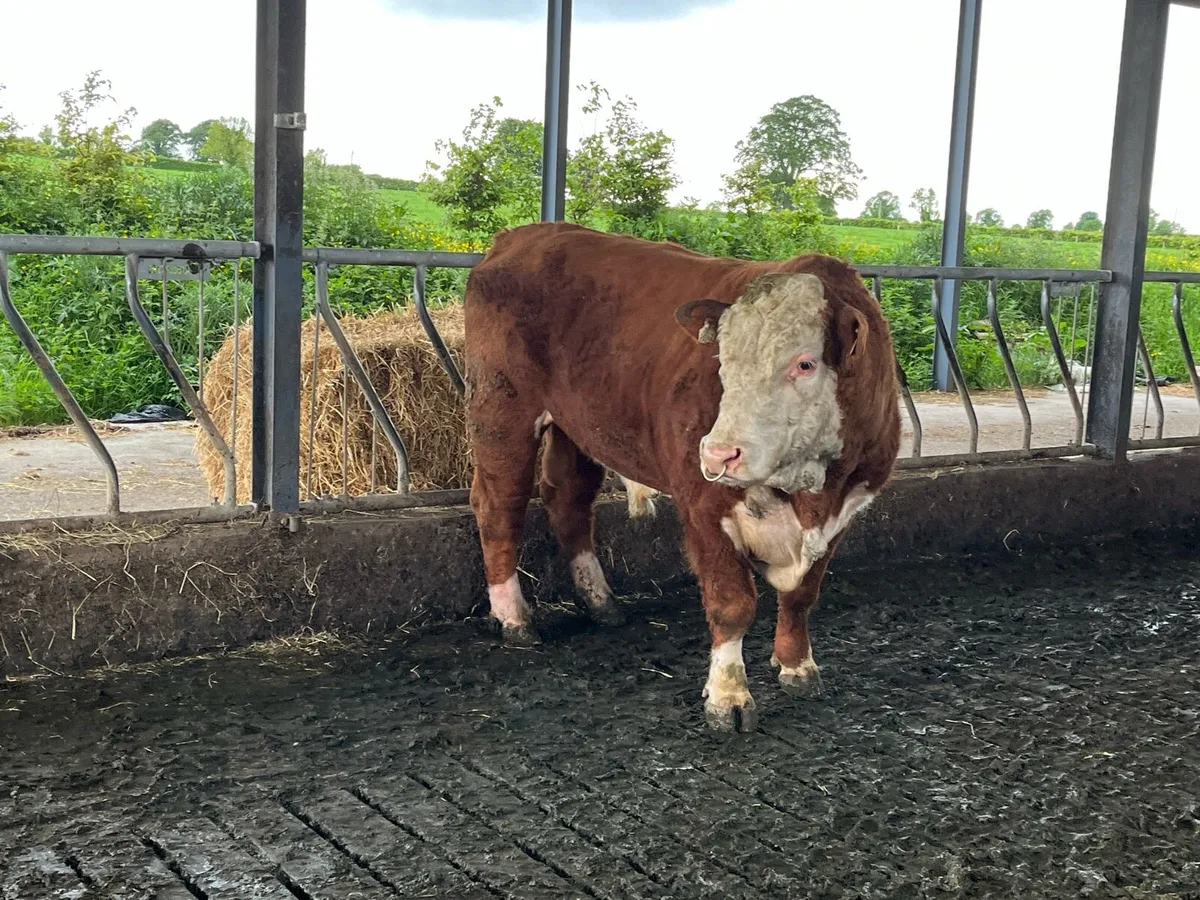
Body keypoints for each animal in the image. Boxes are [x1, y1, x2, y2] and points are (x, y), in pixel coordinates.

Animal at [463, 222, 901, 732]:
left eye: (805, 362)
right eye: (722, 362)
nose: (717, 453)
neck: (811, 490)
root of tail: (522, 235)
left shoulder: (844, 511)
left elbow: (801, 595)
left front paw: (796, 665)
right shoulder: (704, 505)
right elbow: (731, 604)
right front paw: (728, 696)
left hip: (577, 426)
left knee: (567, 499)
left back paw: (600, 602)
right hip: (501, 410)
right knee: (500, 505)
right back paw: (514, 618)